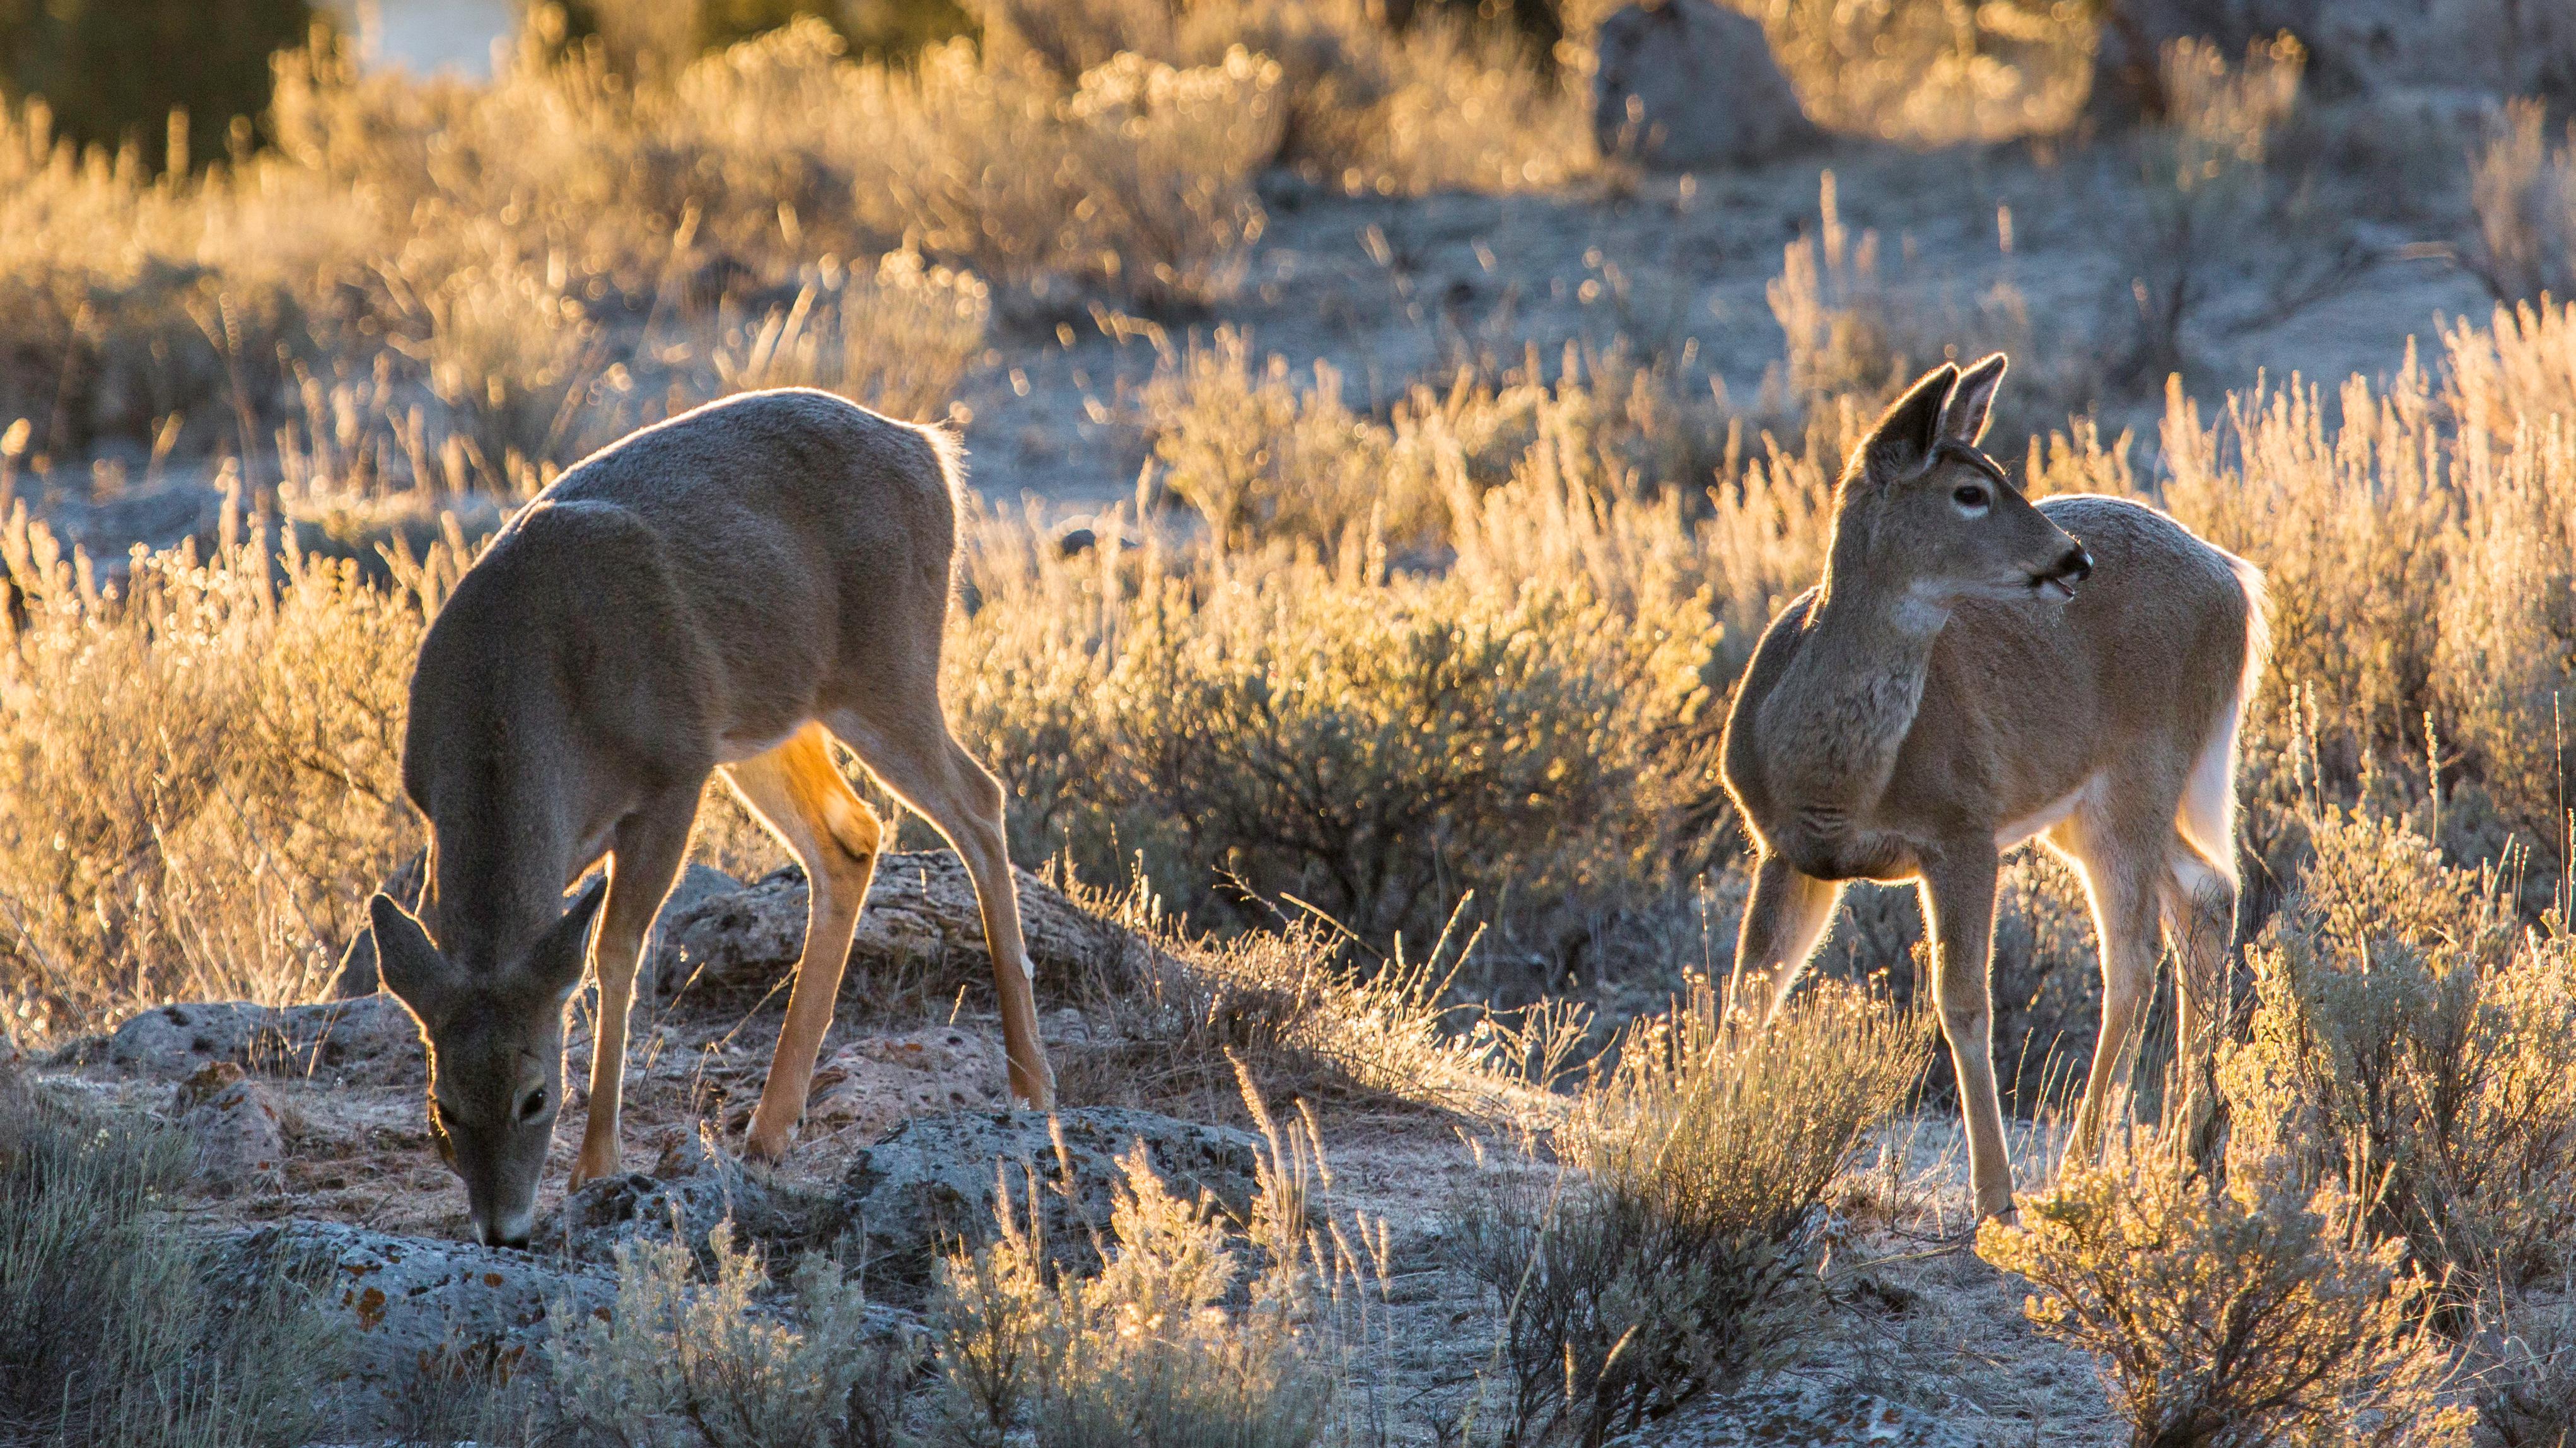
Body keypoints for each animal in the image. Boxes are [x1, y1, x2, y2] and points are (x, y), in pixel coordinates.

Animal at [364, 387, 1055, 1248]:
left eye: (536, 1095)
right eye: (444, 1106)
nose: (503, 1231)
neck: (522, 693)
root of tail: (928, 449)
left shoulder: (672, 776)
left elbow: (615, 951)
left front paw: (597, 1162)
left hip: (885, 671)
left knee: (977, 803)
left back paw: (1031, 1083)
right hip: (770, 721)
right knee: (851, 838)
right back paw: (770, 1126)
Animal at [1718, 355, 2266, 1222]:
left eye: (2001, 474)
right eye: (1969, 490)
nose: (2072, 560)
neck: (1833, 774)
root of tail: (2236, 581)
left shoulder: (1962, 830)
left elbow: (1962, 1003)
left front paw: (1995, 1197)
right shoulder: (1787, 849)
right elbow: (1751, 993)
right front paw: (1686, 1131)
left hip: (2140, 771)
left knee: (2134, 955)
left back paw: (2080, 1165)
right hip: (2086, 804)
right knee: (2205, 891)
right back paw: (2195, 1146)